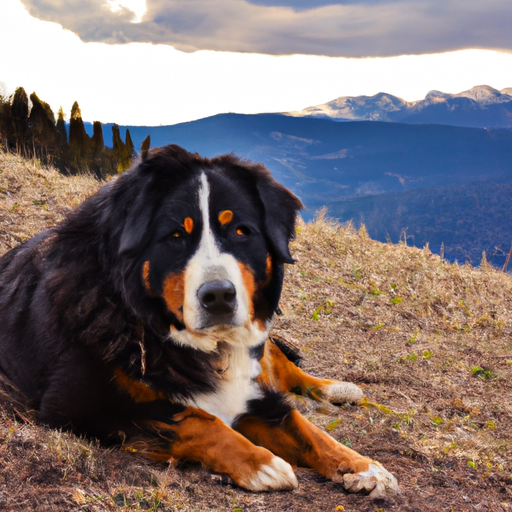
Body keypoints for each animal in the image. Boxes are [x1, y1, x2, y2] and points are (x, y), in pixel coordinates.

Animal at [0, 146, 400, 498]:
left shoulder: (252, 392)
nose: (219, 296)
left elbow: (307, 429)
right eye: (176, 235)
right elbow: (197, 420)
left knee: (280, 362)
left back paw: (336, 388)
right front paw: (261, 464)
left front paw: (364, 466)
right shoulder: (79, 406)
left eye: (241, 231)